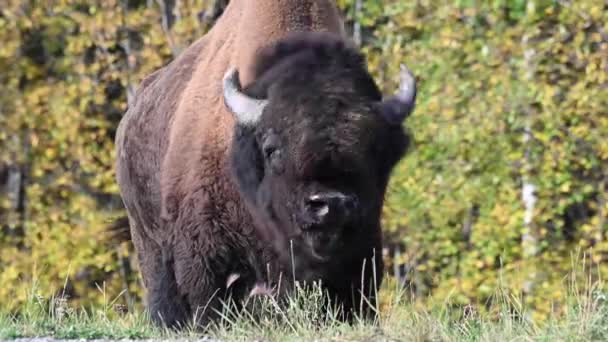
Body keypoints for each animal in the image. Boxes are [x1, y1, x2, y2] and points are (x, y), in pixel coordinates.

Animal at [114, 0, 418, 328]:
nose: (331, 204)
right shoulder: (202, 251)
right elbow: (205, 297)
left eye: (377, 149)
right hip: (148, 240)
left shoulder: (362, 249)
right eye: (271, 148)